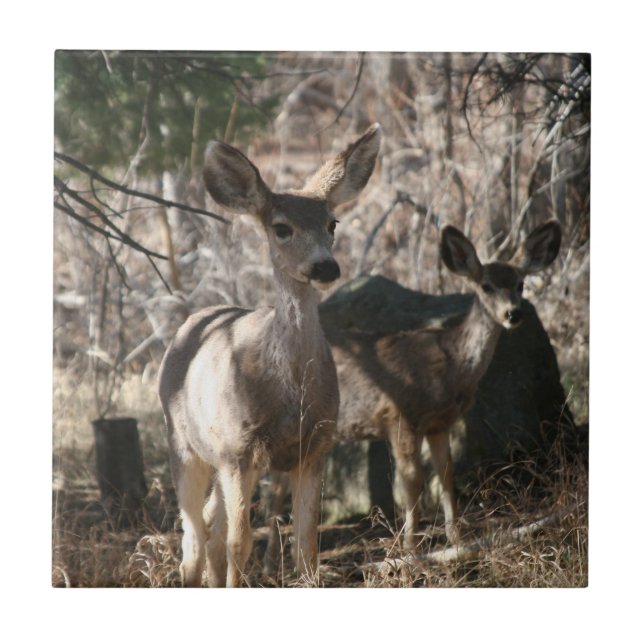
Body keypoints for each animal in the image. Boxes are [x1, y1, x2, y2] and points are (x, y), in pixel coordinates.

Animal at [158, 123, 382, 587]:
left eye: (332, 222)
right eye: (281, 227)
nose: (325, 267)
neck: (290, 392)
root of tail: (193, 319)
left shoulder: (315, 445)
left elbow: (306, 544)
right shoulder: (237, 449)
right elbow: (239, 544)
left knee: (210, 526)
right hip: (183, 442)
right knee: (194, 535)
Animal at [264, 219, 561, 569]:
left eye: (520, 284)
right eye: (486, 286)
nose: (514, 314)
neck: (449, 367)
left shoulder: (439, 423)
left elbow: (446, 476)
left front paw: (457, 540)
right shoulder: (399, 415)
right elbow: (411, 482)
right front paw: (410, 550)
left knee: (278, 483)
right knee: (274, 487)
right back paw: (271, 564)